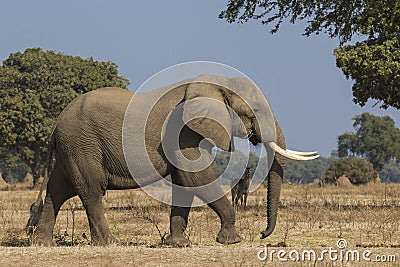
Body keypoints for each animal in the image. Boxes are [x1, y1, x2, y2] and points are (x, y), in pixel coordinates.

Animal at [25, 74, 318, 246]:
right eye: (253, 111)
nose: (262, 234)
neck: (211, 84)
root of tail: (55, 124)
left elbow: (184, 181)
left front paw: (178, 244)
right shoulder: (183, 130)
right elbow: (196, 177)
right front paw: (232, 241)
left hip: (71, 148)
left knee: (58, 190)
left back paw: (44, 243)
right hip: (82, 145)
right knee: (91, 191)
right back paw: (110, 243)